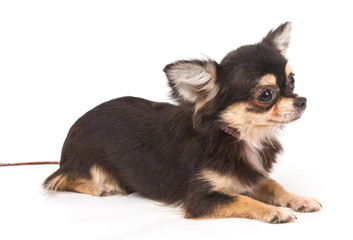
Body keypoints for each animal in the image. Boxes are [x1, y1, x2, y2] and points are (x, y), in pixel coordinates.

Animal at [44, 22, 322, 223]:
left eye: (292, 80)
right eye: (266, 95)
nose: (303, 101)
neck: (238, 136)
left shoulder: (248, 175)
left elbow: (274, 185)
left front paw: (299, 199)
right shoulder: (200, 199)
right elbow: (242, 200)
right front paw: (275, 211)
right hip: (85, 162)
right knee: (60, 179)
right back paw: (103, 187)